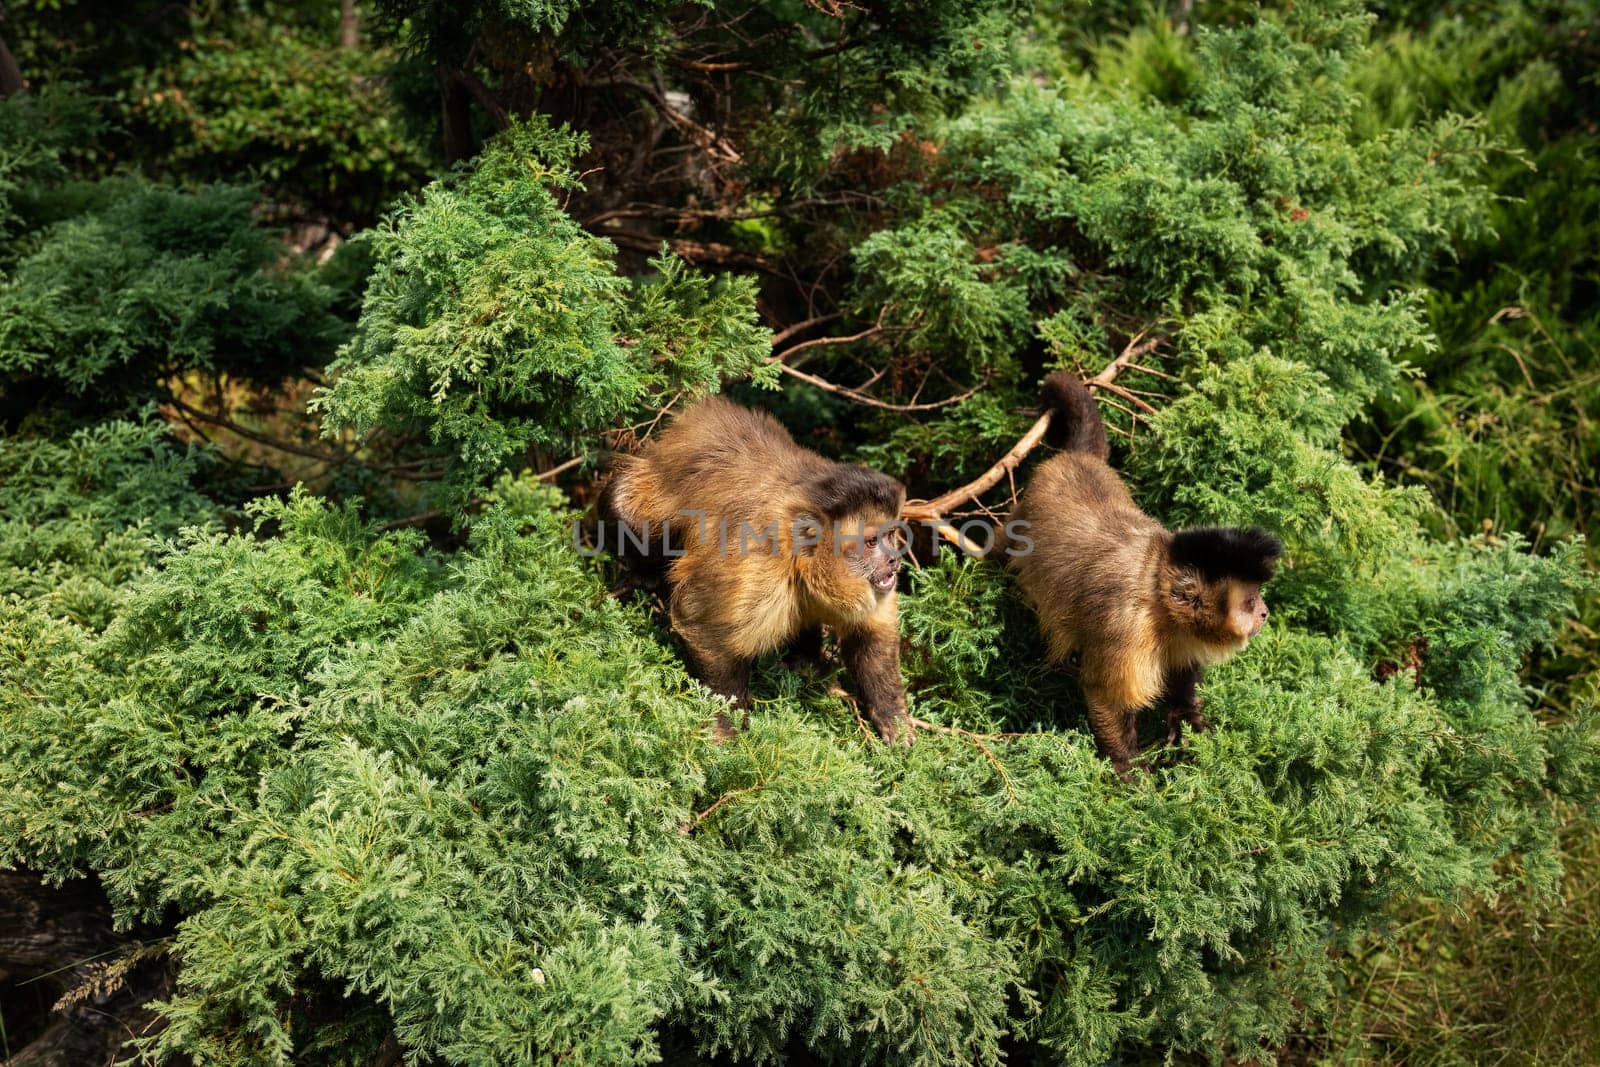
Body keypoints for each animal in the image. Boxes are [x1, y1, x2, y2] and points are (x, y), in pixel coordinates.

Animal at [601, 396, 915, 748]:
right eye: (872, 542)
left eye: (891, 535)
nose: (894, 560)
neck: (799, 560)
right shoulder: (757, 568)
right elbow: (703, 626)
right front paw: (725, 725)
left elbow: (872, 634)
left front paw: (891, 714)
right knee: (629, 509)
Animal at [1004, 374, 1280, 777]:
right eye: (1248, 601)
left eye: (1258, 594)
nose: (1264, 612)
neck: (1157, 602)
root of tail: (1075, 459)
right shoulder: (1126, 626)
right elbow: (1106, 698)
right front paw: (1129, 774)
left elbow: (1181, 673)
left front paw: (1186, 716)